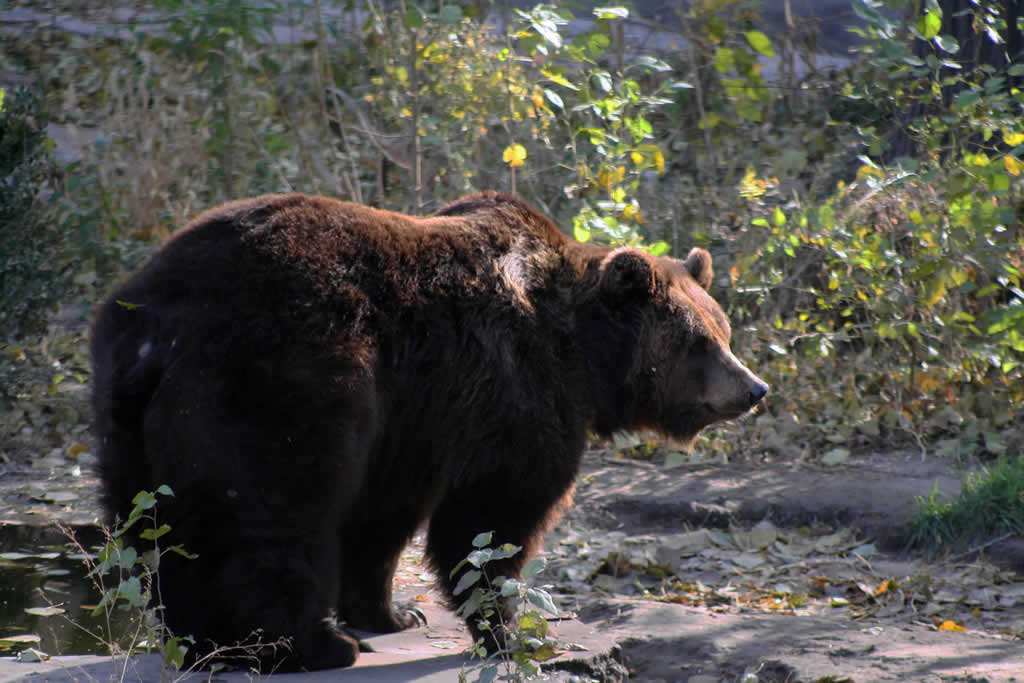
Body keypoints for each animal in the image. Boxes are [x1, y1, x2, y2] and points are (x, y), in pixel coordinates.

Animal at [92, 192, 765, 671]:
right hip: (288, 376)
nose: (754, 389)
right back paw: (310, 645)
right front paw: (509, 630)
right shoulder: (512, 392)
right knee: (275, 513)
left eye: (723, 328)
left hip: (125, 408)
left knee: (156, 524)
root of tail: (167, 325)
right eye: (700, 342)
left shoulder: (412, 422)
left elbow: (380, 522)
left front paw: (396, 613)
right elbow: (494, 516)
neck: (582, 354)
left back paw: (204, 640)